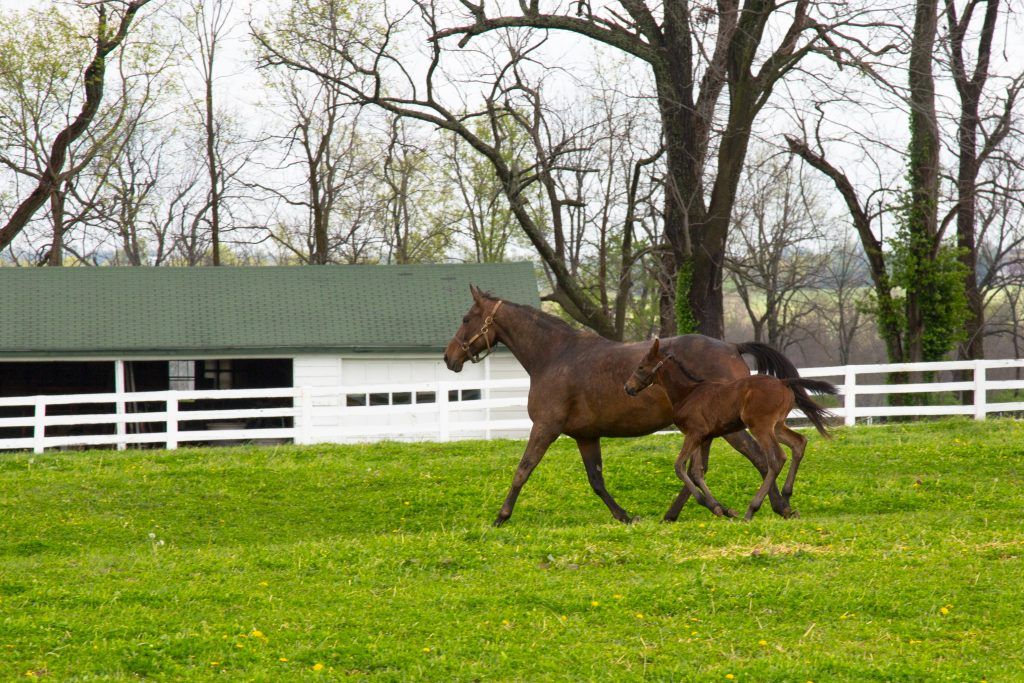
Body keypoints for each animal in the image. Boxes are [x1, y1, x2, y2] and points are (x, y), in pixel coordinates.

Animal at [626, 339, 835, 520]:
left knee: (776, 458)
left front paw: (710, 504)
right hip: (777, 426)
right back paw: (786, 498)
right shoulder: (703, 437)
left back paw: (752, 509)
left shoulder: (694, 434)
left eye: (641, 367)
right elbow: (697, 471)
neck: (687, 393)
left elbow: (680, 466)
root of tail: (783, 382)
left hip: (760, 426)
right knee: (798, 443)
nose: (628, 388)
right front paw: (719, 508)